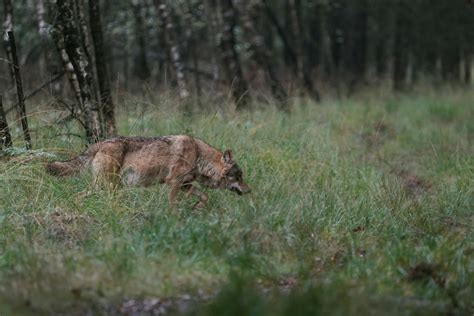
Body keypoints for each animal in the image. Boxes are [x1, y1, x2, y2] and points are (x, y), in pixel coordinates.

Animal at [45, 135, 250, 207]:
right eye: (239, 176)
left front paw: (197, 208)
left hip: (104, 187)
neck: (198, 155)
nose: (249, 191)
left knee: (78, 196)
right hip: (109, 187)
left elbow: (204, 196)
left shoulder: (185, 185)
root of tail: (100, 143)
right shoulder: (173, 183)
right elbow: (173, 205)